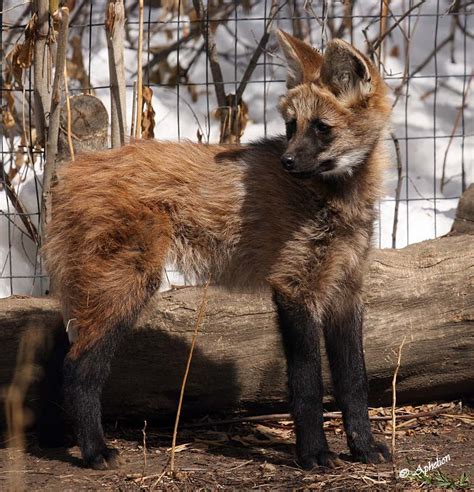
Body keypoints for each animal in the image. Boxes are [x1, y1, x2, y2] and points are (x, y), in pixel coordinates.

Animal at [40, 29, 390, 468]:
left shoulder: (346, 288)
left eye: (322, 128)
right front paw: (313, 455)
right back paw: (95, 451)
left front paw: (365, 448)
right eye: (292, 125)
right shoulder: (294, 288)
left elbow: (354, 380)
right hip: (127, 285)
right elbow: (308, 383)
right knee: (77, 368)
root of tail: (72, 171)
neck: (336, 198)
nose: (288, 161)